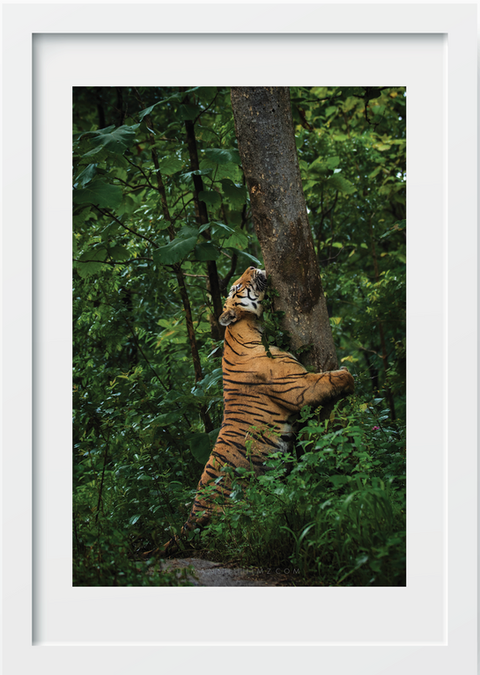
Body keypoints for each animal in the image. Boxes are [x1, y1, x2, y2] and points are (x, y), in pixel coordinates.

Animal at [162, 266, 354, 555]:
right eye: (237, 288)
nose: (251, 267)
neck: (251, 327)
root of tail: (190, 517)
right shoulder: (297, 386)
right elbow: (327, 380)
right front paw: (349, 375)